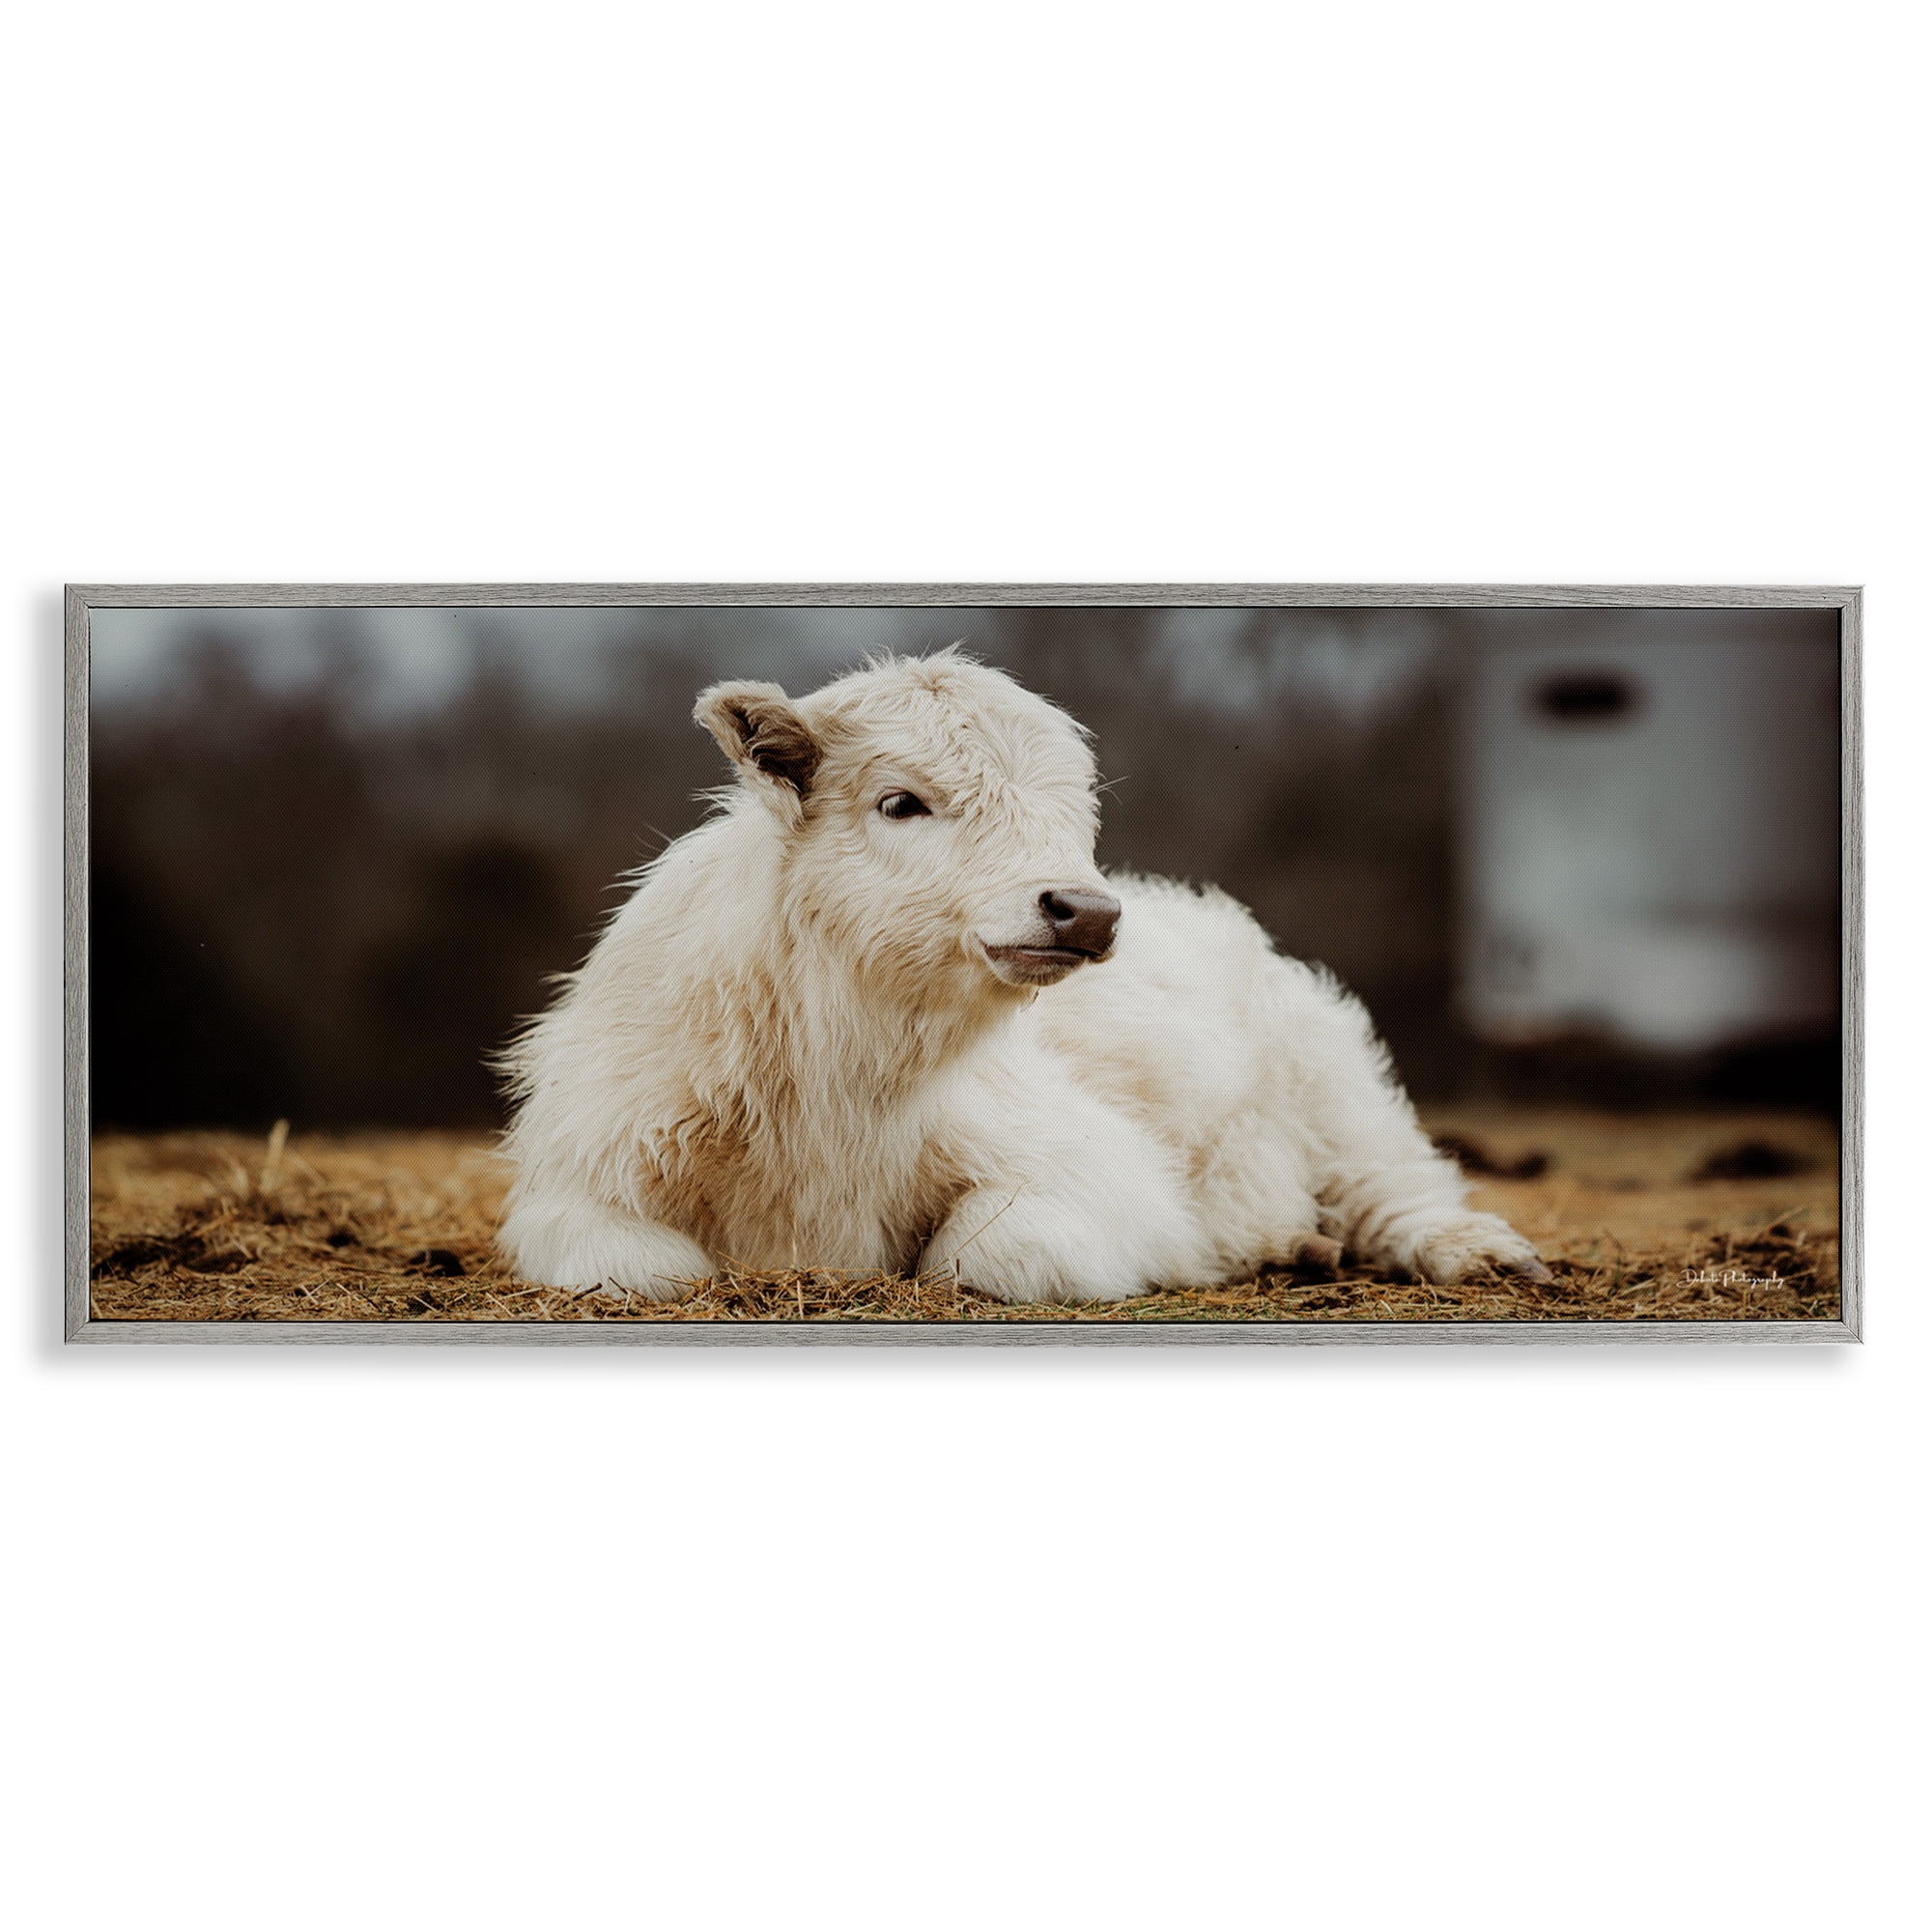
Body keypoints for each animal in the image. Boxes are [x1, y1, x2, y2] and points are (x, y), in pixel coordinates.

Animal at [496, 649, 1551, 1301]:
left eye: (1072, 807)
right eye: (900, 802)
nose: (1085, 909)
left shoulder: (1087, 1167)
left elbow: (985, 1251)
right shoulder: (579, 1184)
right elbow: (649, 1268)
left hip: (1338, 1087)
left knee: (1398, 1182)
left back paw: (1472, 1251)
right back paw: (1297, 1244)